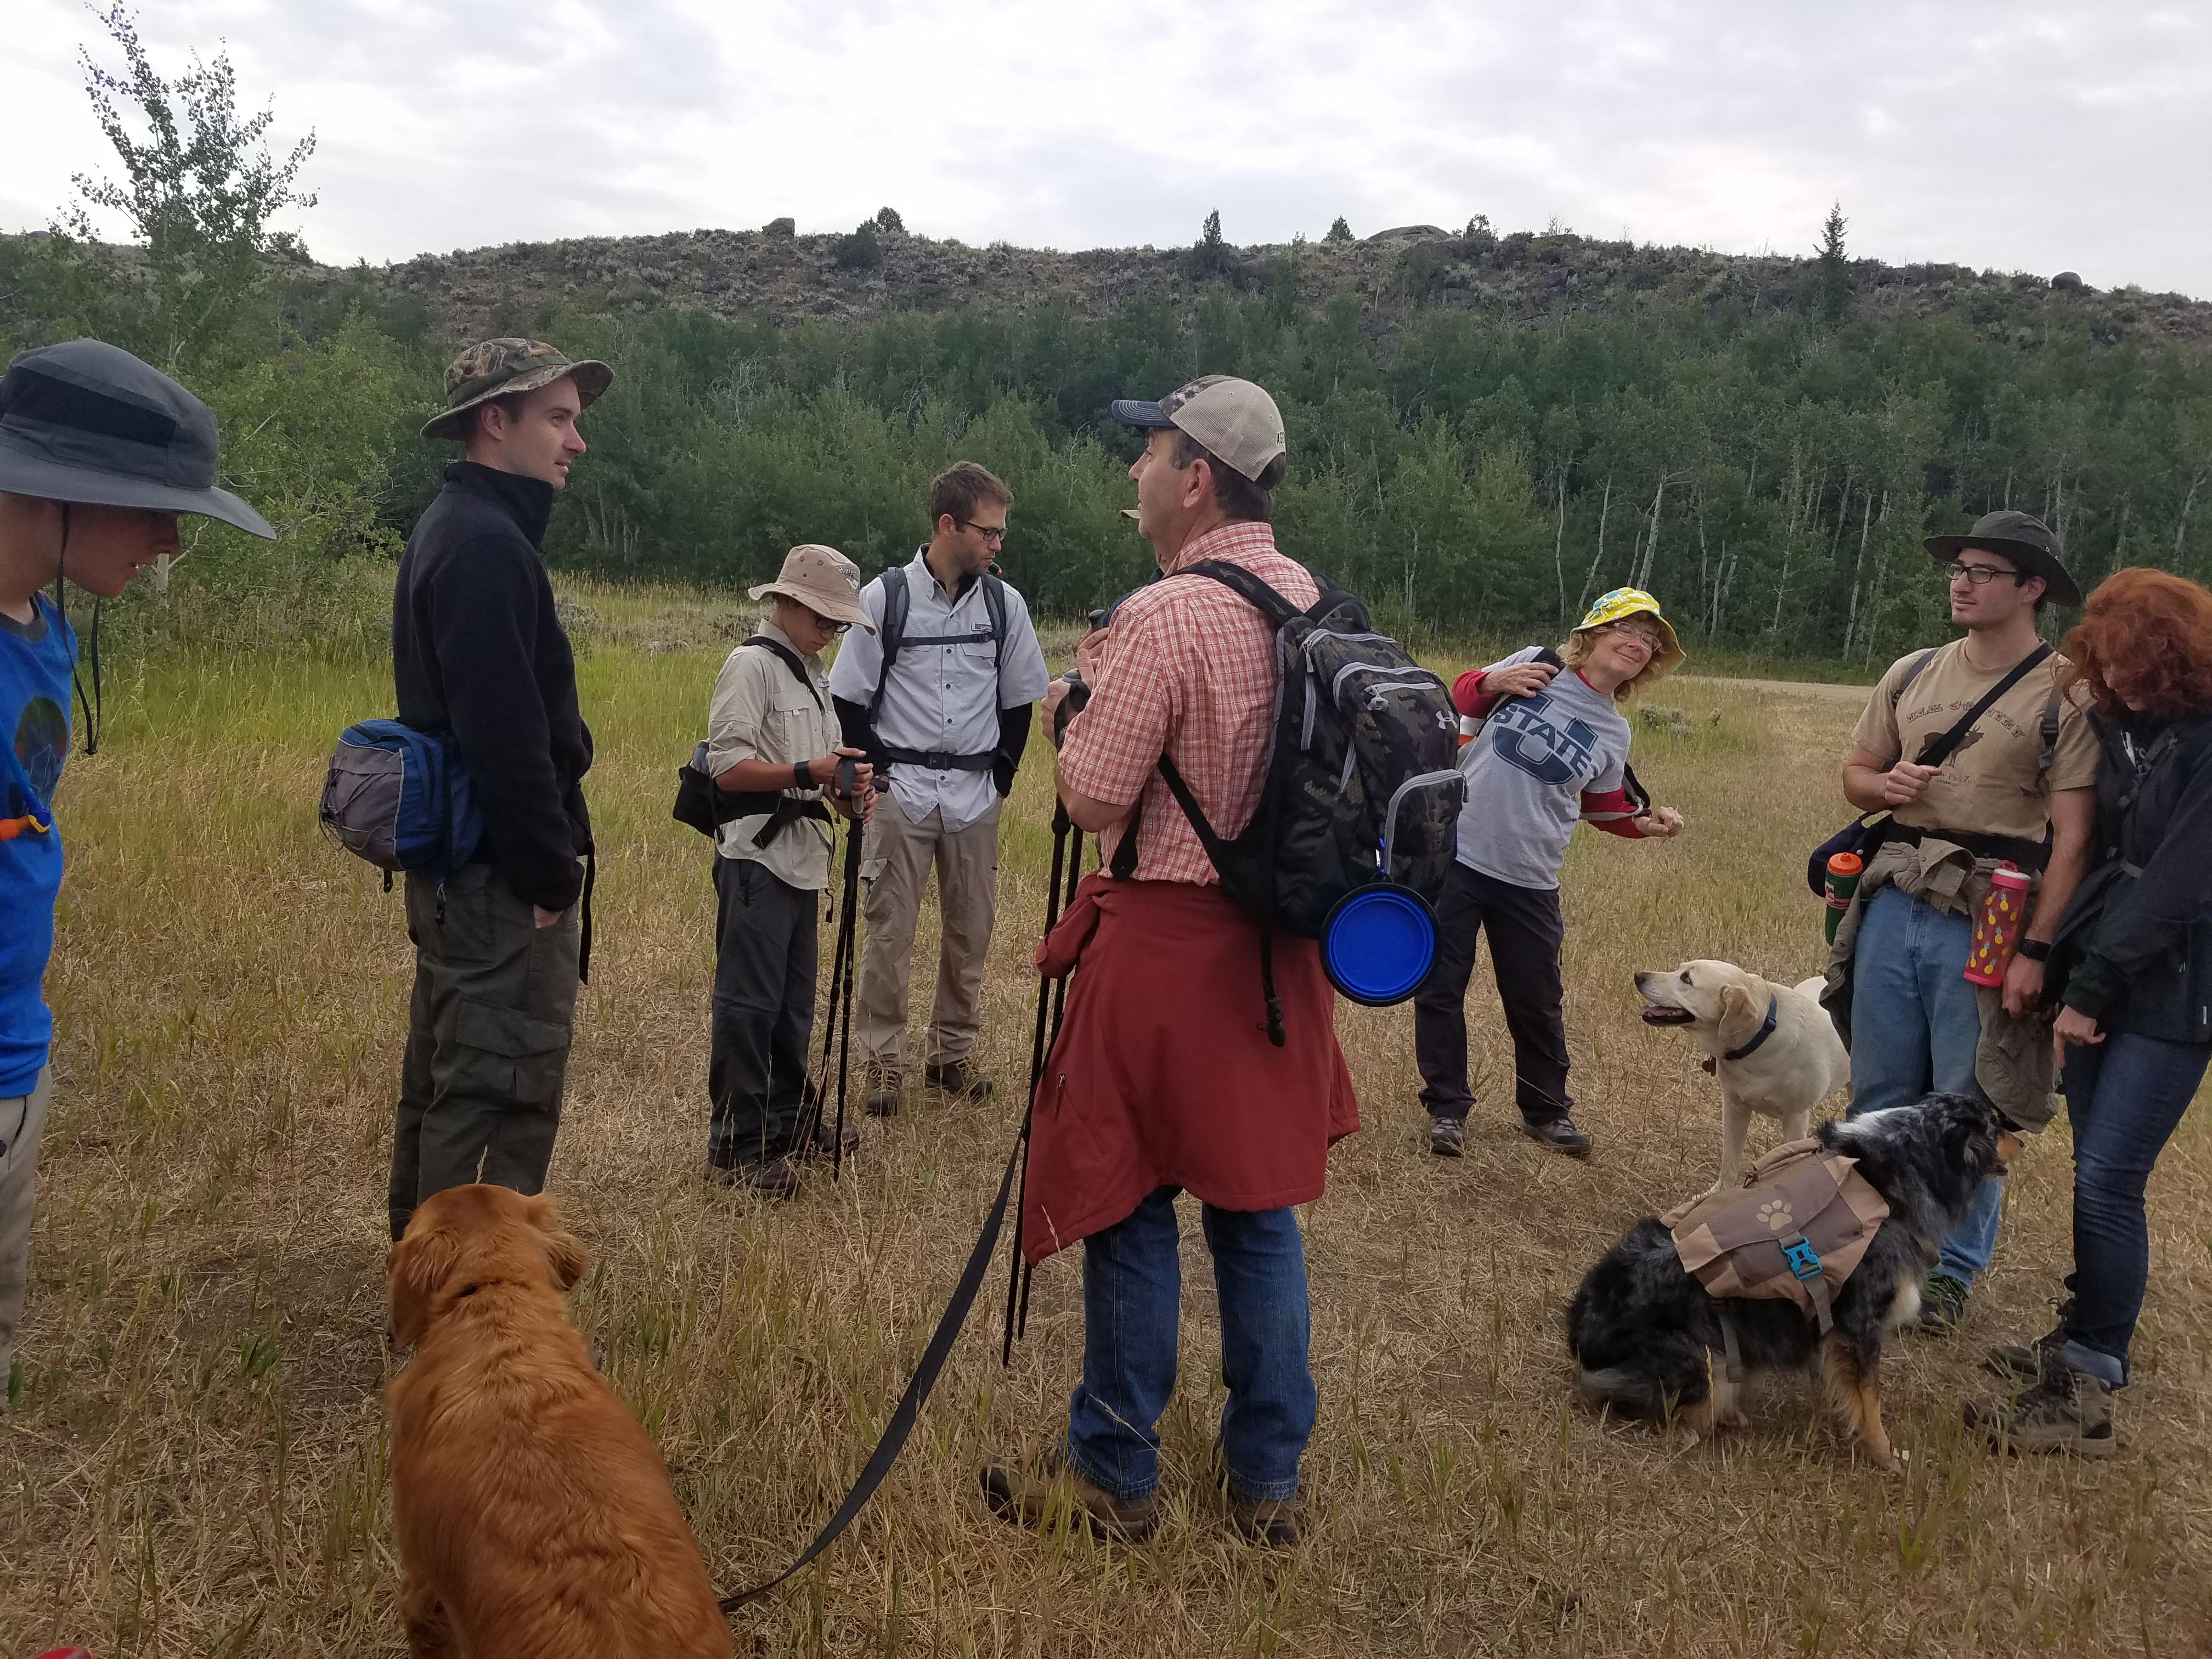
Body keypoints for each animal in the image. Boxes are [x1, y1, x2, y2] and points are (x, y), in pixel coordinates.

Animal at [1637, 960, 1840, 1194]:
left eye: (1686, 979)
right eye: (1680, 969)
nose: (1638, 976)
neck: (1761, 1039)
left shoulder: (1796, 1118)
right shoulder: (1735, 1107)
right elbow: (1729, 1162)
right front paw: (1718, 1194)